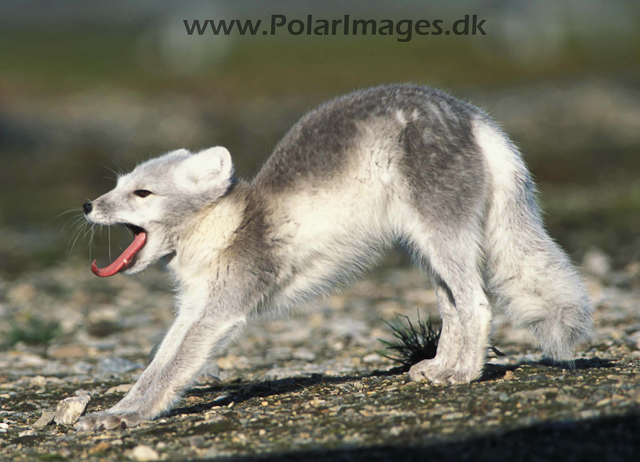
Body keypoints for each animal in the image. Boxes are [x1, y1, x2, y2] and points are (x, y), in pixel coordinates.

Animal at [77, 85, 592, 432]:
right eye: (118, 185)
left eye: (142, 193)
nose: (86, 206)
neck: (221, 225)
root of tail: (475, 117)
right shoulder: (193, 308)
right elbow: (156, 364)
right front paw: (121, 408)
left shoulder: (222, 308)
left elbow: (170, 369)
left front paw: (125, 416)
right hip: (425, 246)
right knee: (453, 306)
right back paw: (439, 368)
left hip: (442, 234)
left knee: (478, 304)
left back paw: (464, 374)